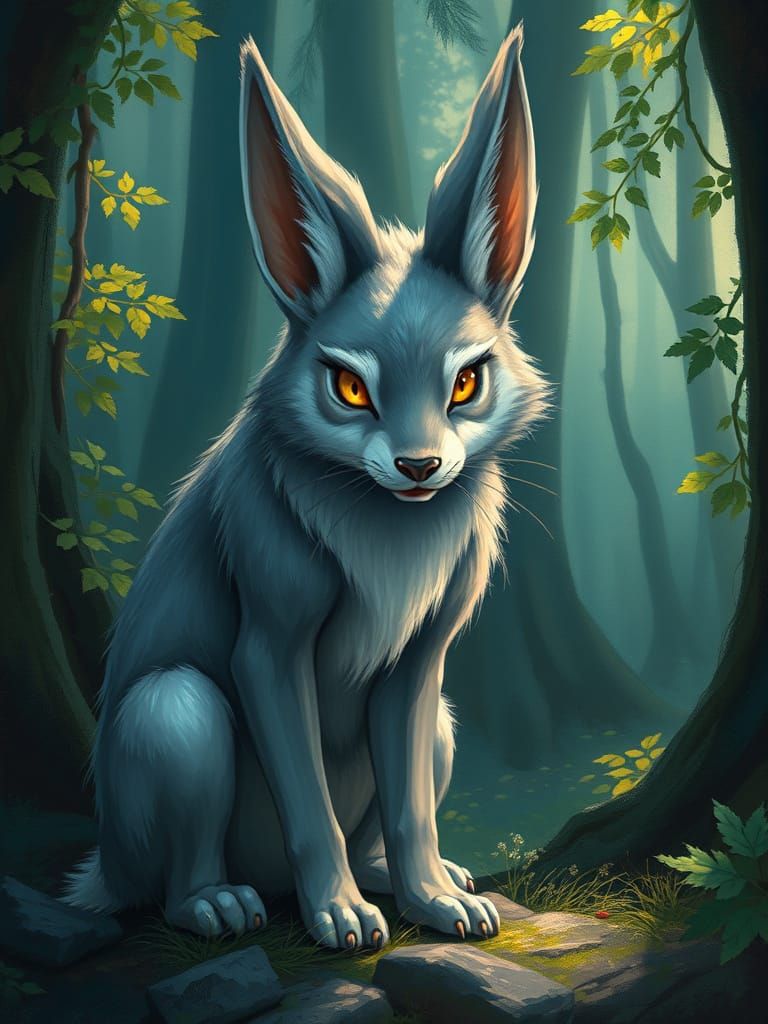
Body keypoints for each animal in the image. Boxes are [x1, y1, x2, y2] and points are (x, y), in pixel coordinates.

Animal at [63, 26, 548, 950]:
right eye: (350, 387)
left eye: (467, 382)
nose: (419, 467)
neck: (389, 529)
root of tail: (99, 870)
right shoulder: (268, 647)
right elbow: (308, 802)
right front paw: (343, 921)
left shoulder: (421, 664)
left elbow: (409, 805)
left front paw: (438, 906)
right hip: (175, 712)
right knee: (176, 884)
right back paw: (224, 905)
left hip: (444, 725)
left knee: (387, 817)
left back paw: (418, 881)